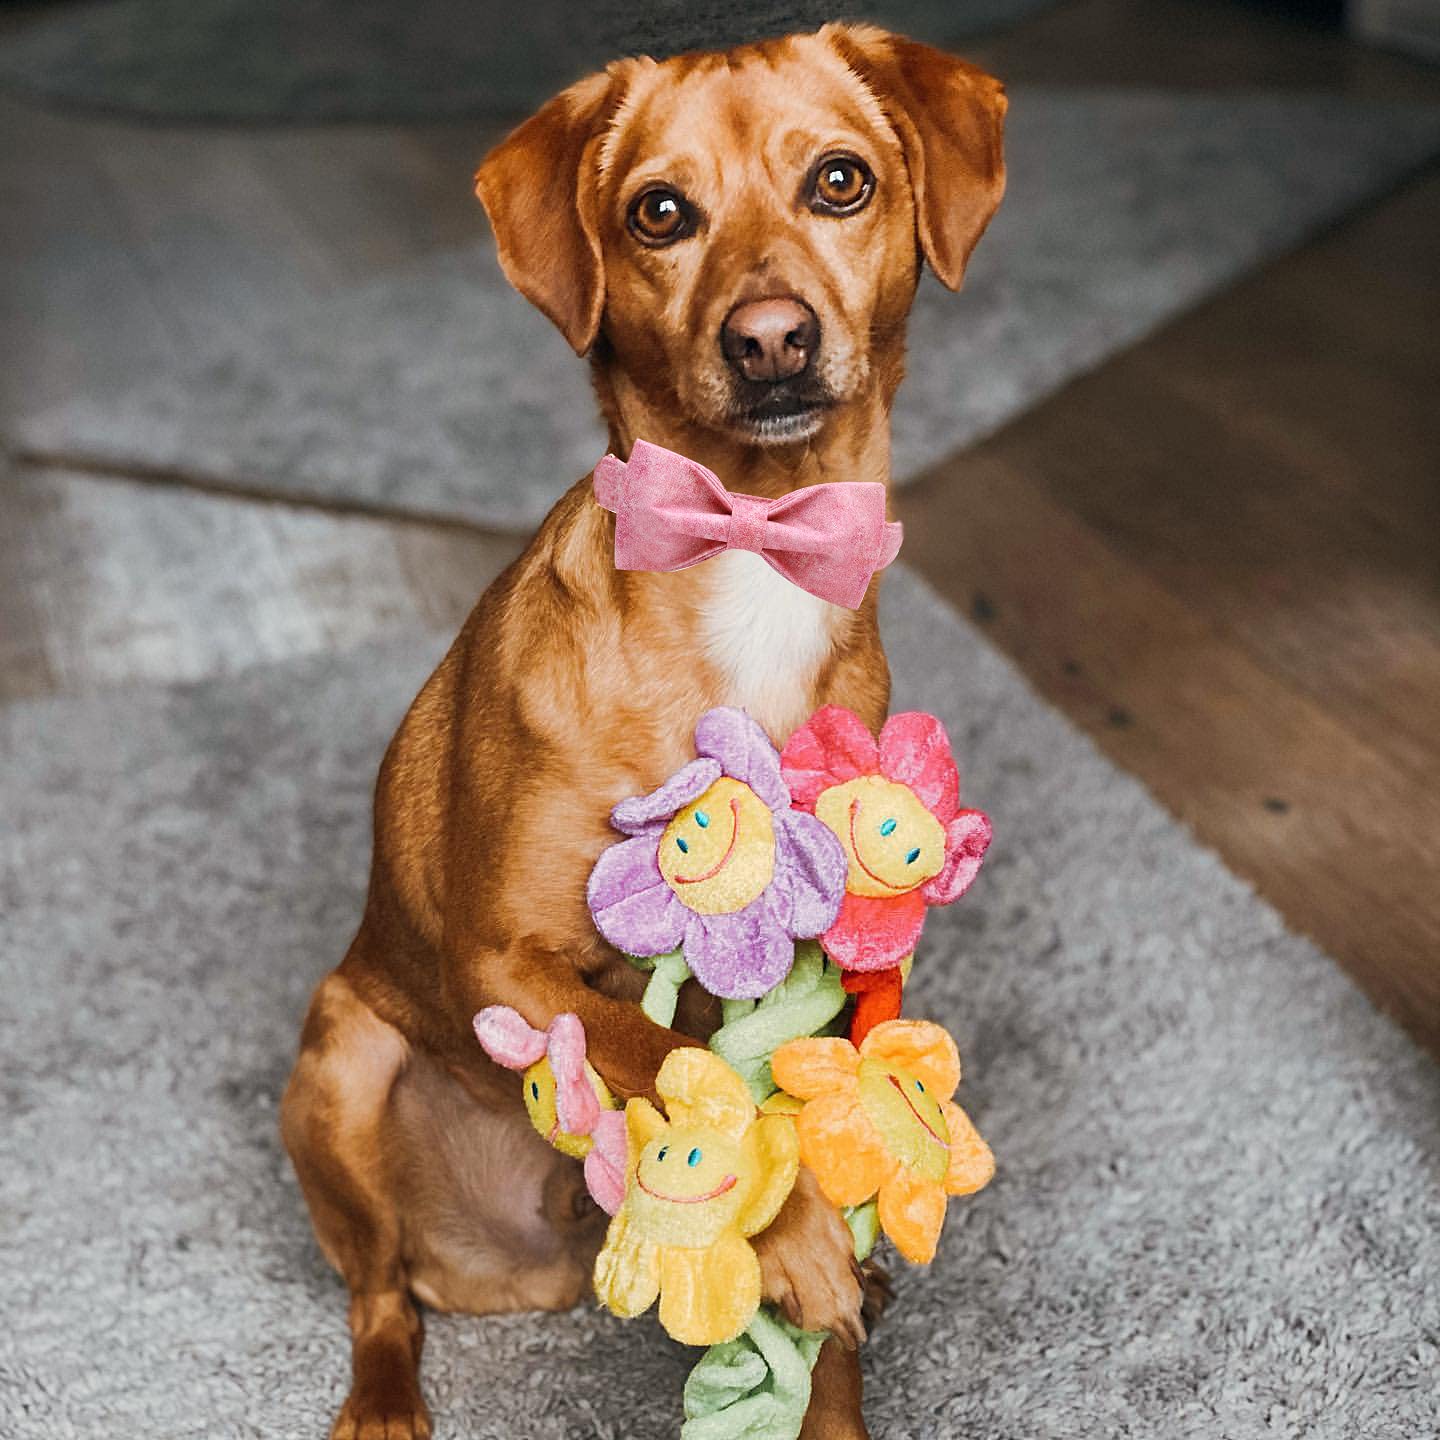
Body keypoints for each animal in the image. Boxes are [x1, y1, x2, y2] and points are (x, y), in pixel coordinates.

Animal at [277, 25, 1002, 1440]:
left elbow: (792, 1111)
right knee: (380, 1299)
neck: (751, 545)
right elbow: (652, 1048)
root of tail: (525, 1264)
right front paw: (786, 1232)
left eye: (840, 181)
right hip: (340, 1058)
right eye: (659, 213)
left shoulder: (838, 986)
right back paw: (385, 1399)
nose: (771, 340)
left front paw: (827, 1341)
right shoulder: (501, 962)